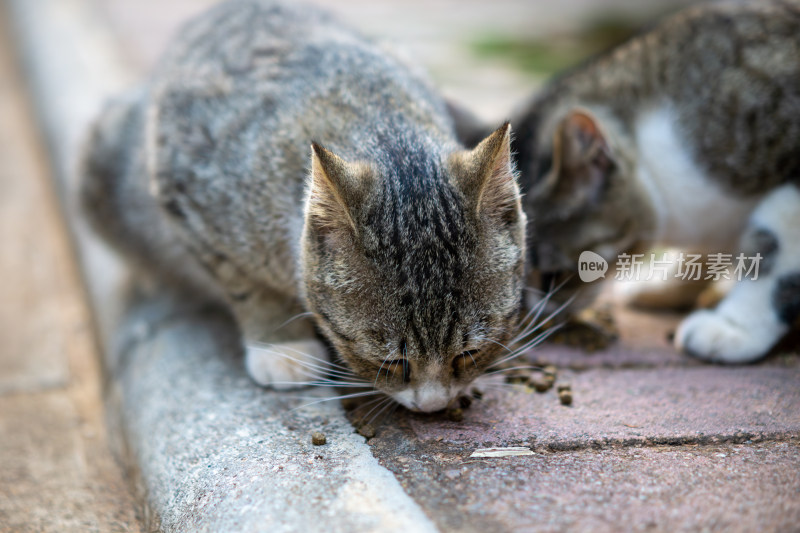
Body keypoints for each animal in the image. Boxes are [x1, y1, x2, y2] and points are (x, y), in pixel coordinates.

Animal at [83, 0, 532, 412]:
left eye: (469, 353)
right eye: (391, 362)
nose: (433, 405)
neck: (382, 129)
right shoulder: (182, 184)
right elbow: (243, 281)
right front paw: (279, 343)